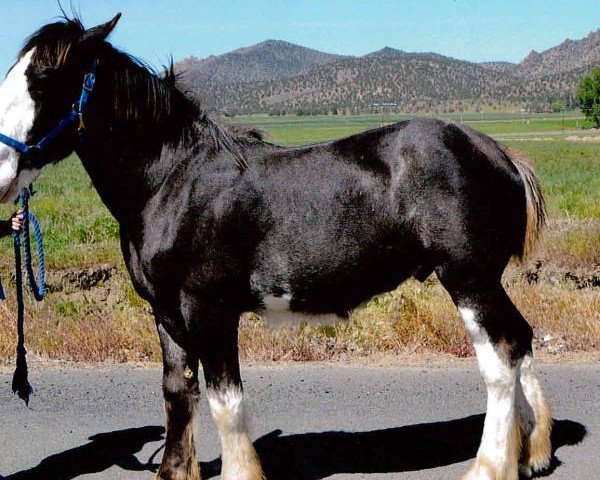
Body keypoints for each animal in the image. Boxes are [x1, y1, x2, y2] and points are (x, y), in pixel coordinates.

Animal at [0, 14, 552, 480]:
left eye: (43, 80)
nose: (2, 175)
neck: (172, 180)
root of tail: (498, 152)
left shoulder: (209, 310)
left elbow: (225, 402)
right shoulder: (166, 314)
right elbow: (178, 393)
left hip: (468, 279)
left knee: (501, 356)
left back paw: (491, 466)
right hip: (484, 281)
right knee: (522, 339)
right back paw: (534, 452)